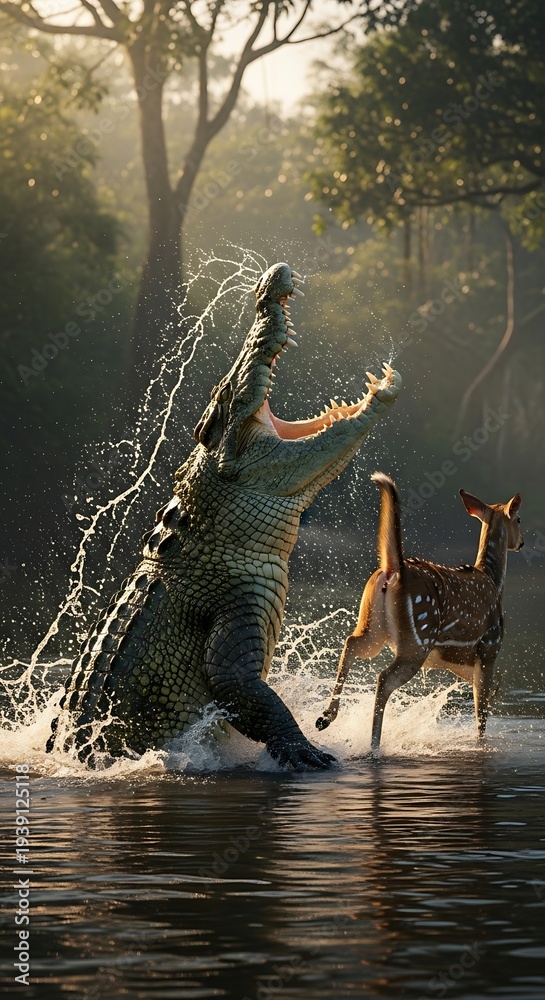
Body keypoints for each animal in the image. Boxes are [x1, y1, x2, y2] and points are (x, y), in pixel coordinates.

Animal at [316, 473, 523, 752]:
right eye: (519, 519)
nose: (521, 542)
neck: (493, 579)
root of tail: (394, 569)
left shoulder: (456, 659)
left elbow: (489, 693)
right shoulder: (489, 647)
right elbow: (481, 712)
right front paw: (480, 744)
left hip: (372, 625)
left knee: (351, 643)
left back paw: (326, 717)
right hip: (418, 639)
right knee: (383, 678)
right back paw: (373, 745)